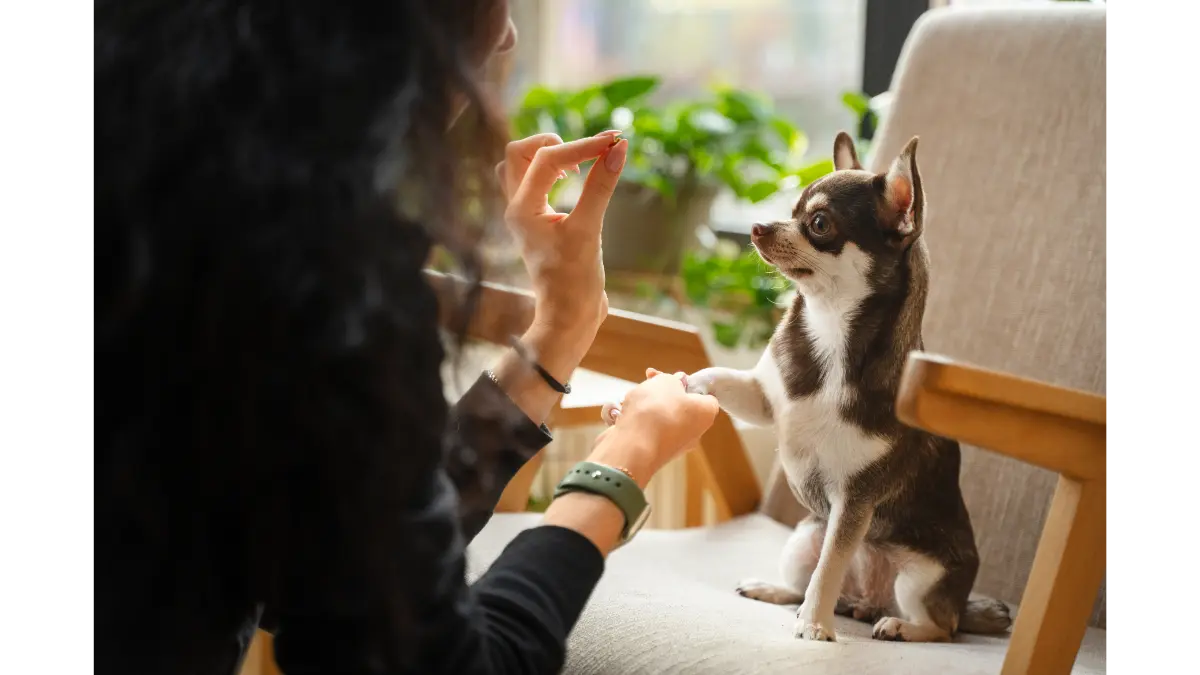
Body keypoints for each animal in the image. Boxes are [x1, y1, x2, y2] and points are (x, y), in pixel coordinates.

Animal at [609, 135, 1012, 638]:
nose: (758, 227)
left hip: (919, 579)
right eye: (791, 210)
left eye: (819, 224)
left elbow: (831, 565)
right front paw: (681, 386)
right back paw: (777, 590)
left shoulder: (854, 503)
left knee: (943, 626)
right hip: (804, 537)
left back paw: (898, 626)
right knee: (808, 582)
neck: (830, 331)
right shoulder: (763, 400)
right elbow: (717, 378)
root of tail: (869, 599)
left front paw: (814, 627)